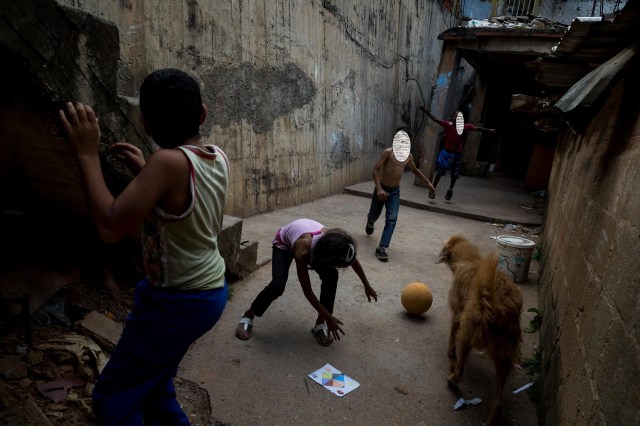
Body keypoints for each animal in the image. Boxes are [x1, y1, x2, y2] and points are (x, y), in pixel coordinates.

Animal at [438, 236, 524, 426]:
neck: (470, 259)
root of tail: (496, 304)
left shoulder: (457, 315)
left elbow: (451, 342)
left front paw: (450, 354)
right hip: (504, 353)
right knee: (498, 401)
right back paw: (492, 419)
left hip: (466, 334)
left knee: (460, 371)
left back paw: (451, 379)